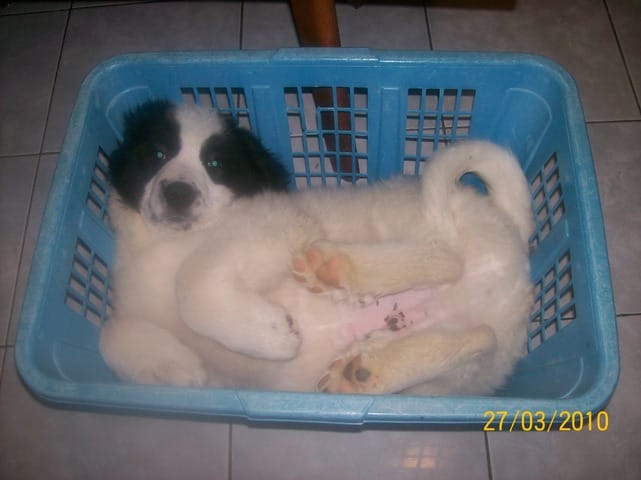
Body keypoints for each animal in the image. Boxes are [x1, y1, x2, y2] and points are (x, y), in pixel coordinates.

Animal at [99, 99, 534, 395]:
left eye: (215, 165)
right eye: (156, 154)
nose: (178, 192)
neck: (170, 241)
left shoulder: (274, 224)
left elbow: (191, 282)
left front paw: (273, 335)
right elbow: (111, 331)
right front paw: (177, 367)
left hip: (410, 218)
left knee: (448, 258)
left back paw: (336, 268)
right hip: (456, 378)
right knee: (480, 338)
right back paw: (365, 369)